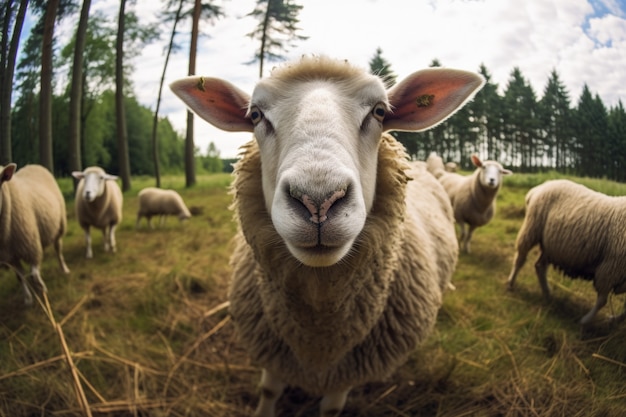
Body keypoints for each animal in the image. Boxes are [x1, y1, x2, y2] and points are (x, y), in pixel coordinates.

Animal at [0, 163, 70, 306]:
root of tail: (34, 165)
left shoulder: (31, 245)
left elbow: (33, 274)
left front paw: (42, 289)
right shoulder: (11, 256)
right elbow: (20, 277)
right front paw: (28, 298)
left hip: (59, 226)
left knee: (58, 250)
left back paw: (64, 269)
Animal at [168, 55, 480, 416]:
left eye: (379, 111)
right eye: (256, 115)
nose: (318, 200)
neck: (318, 334)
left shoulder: (345, 371)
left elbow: (331, 409)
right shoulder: (275, 353)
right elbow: (268, 390)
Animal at [504, 179, 624, 324]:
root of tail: (540, 187)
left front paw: (614, 320)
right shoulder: (610, 270)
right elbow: (602, 301)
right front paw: (585, 321)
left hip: (550, 246)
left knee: (540, 267)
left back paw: (548, 294)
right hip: (532, 228)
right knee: (520, 258)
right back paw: (511, 283)